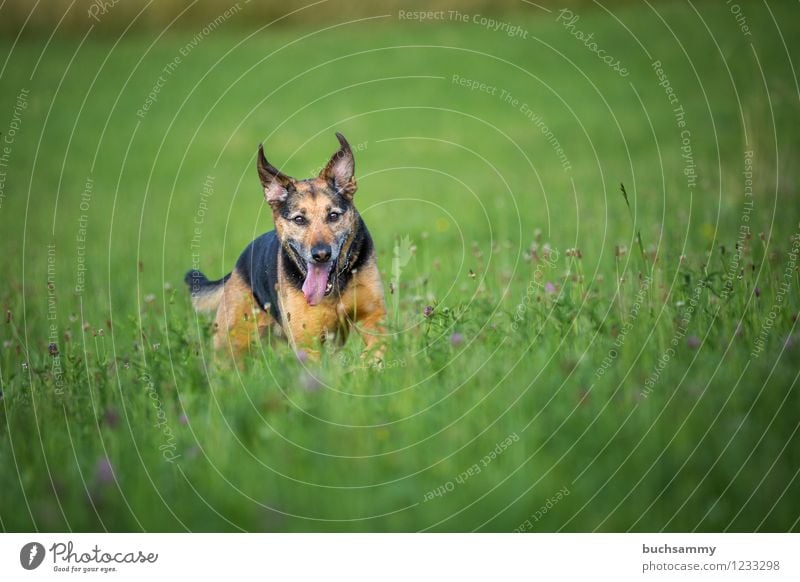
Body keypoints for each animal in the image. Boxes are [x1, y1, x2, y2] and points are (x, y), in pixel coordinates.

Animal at [188, 133, 388, 360]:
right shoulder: (308, 342)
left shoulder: (373, 317)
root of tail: (238, 266)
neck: (334, 288)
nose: (321, 255)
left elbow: (376, 349)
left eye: (333, 215)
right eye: (299, 219)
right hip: (231, 345)